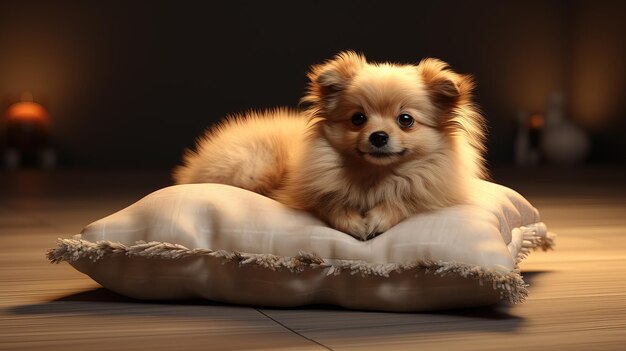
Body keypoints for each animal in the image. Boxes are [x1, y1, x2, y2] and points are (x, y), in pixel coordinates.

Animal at [173, 51, 486, 241]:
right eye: (358, 118)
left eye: (406, 120)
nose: (378, 136)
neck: (373, 176)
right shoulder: (304, 191)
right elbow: (328, 200)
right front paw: (351, 220)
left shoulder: (428, 189)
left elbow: (405, 199)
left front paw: (379, 217)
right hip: (254, 167)